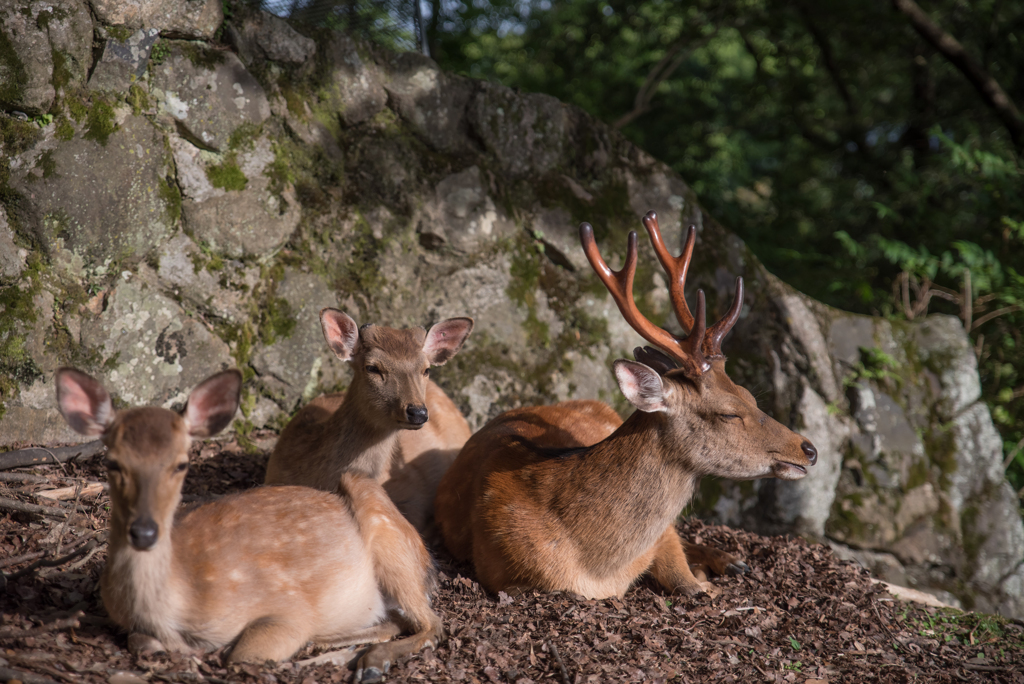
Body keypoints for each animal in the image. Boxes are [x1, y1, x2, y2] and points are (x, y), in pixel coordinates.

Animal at [56, 368, 440, 679]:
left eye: (181, 463)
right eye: (112, 462)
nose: (144, 532)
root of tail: (426, 556)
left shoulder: (288, 610)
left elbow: (243, 654)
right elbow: (140, 641)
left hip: (388, 535)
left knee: (430, 622)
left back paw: (368, 661)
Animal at [432, 209, 815, 597]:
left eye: (750, 395)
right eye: (729, 413)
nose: (809, 449)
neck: (595, 569)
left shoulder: (661, 539)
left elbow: (683, 575)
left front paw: (708, 572)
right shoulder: (502, 574)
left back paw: (732, 560)